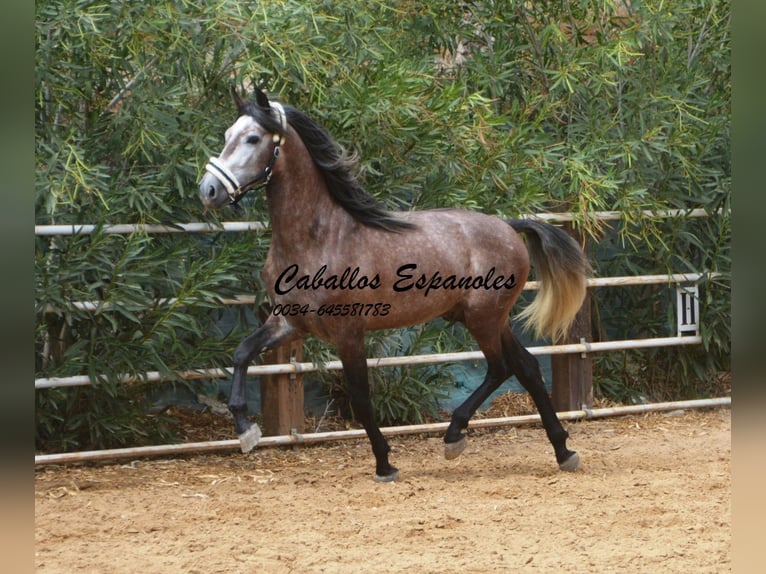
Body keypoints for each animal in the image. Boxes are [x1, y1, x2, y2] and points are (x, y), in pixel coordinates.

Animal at [200, 88, 592, 484]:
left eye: (253, 138)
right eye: (227, 134)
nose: (209, 190)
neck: (319, 239)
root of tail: (509, 226)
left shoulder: (348, 332)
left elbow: (360, 398)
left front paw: (385, 465)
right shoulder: (290, 323)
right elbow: (242, 353)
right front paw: (246, 430)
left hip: (483, 318)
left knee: (500, 368)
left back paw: (455, 437)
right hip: (485, 318)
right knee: (526, 367)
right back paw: (563, 451)